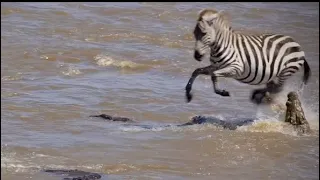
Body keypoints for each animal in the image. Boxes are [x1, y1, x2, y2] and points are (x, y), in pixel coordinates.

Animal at [184, 8, 312, 104]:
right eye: (194, 33)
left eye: (204, 33)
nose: (197, 56)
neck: (222, 46)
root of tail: (296, 44)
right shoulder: (216, 66)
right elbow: (197, 71)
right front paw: (188, 93)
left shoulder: (236, 68)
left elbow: (214, 75)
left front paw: (222, 92)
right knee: (273, 86)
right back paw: (260, 95)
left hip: (286, 71)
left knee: (278, 88)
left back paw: (258, 95)